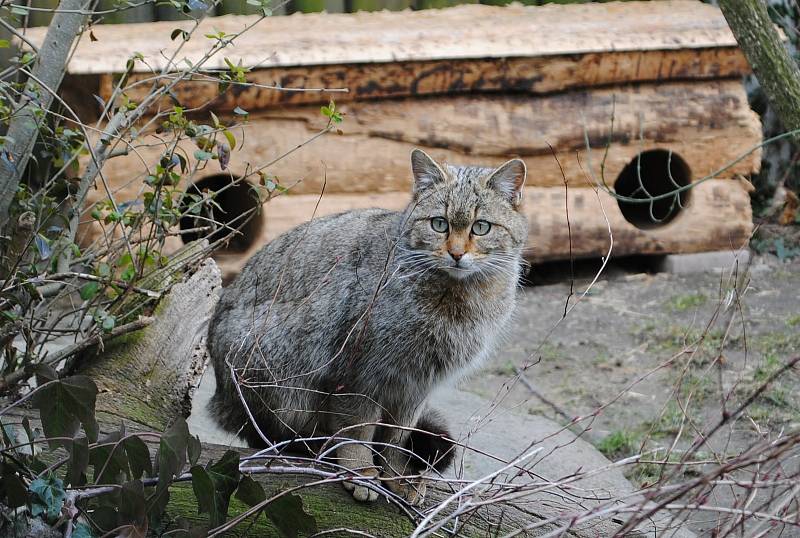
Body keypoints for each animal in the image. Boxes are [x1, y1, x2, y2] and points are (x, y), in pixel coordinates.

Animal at [209, 148, 528, 502]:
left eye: (481, 227)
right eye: (439, 224)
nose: (456, 253)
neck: (456, 299)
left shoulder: (414, 386)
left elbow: (396, 439)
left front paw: (397, 476)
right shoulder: (357, 373)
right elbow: (356, 429)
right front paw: (360, 471)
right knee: (268, 434)